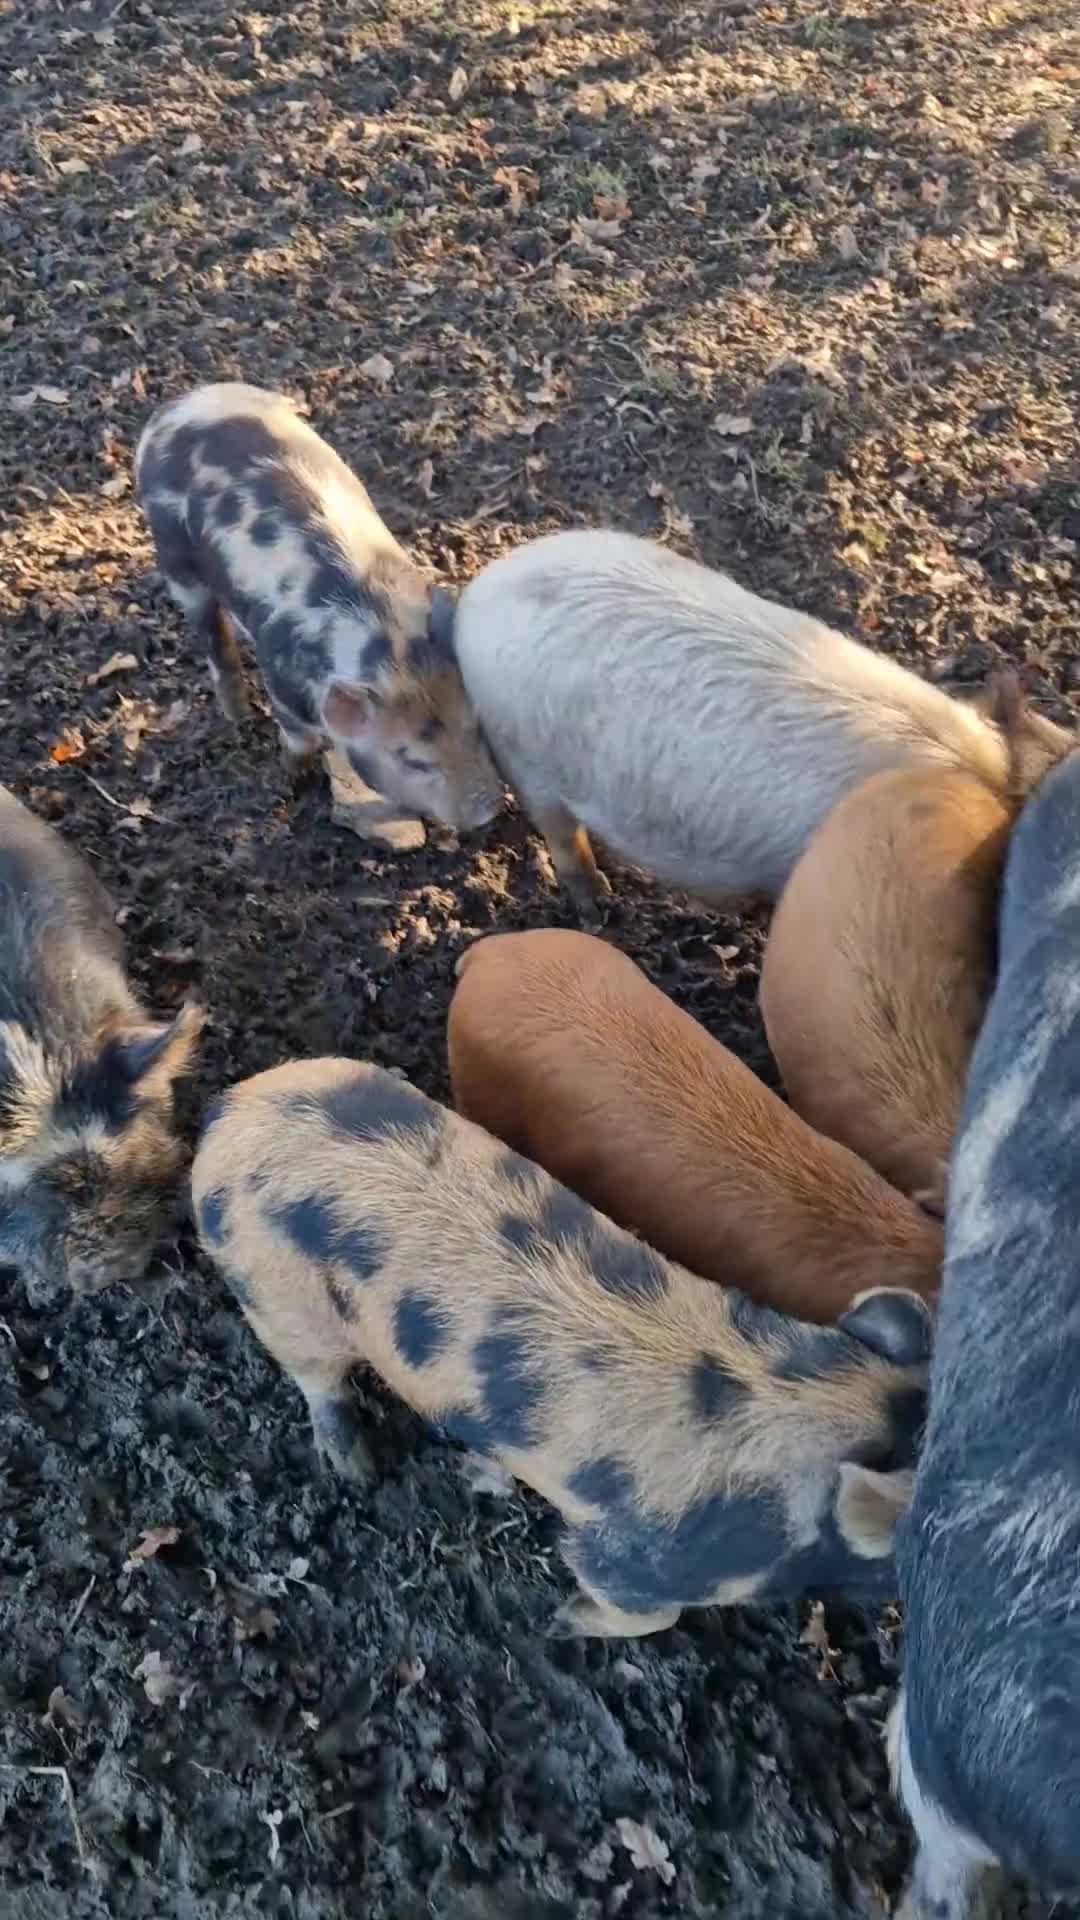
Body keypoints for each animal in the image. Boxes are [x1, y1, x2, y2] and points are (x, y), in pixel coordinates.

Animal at [134, 382, 504, 832]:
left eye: (476, 729)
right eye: (412, 760)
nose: (490, 810)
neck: (392, 644)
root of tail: (177, 406)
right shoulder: (283, 681)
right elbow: (299, 737)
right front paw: (291, 776)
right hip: (174, 557)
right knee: (213, 639)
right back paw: (238, 717)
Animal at [192, 1055, 932, 1639]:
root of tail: (228, 1112)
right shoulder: (634, 1561)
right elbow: (641, 1609)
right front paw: (559, 1621)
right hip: (274, 1291)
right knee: (318, 1379)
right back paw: (355, 1469)